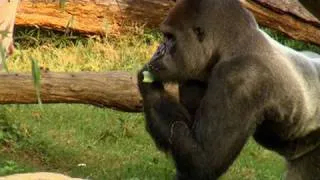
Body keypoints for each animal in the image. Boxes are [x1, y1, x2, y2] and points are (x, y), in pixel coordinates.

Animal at [137, 0, 320, 180]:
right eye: (165, 37)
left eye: (171, 37)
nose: (158, 51)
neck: (232, 44)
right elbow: (187, 143)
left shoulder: (239, 78)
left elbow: (203, 160)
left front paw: (148, 85)